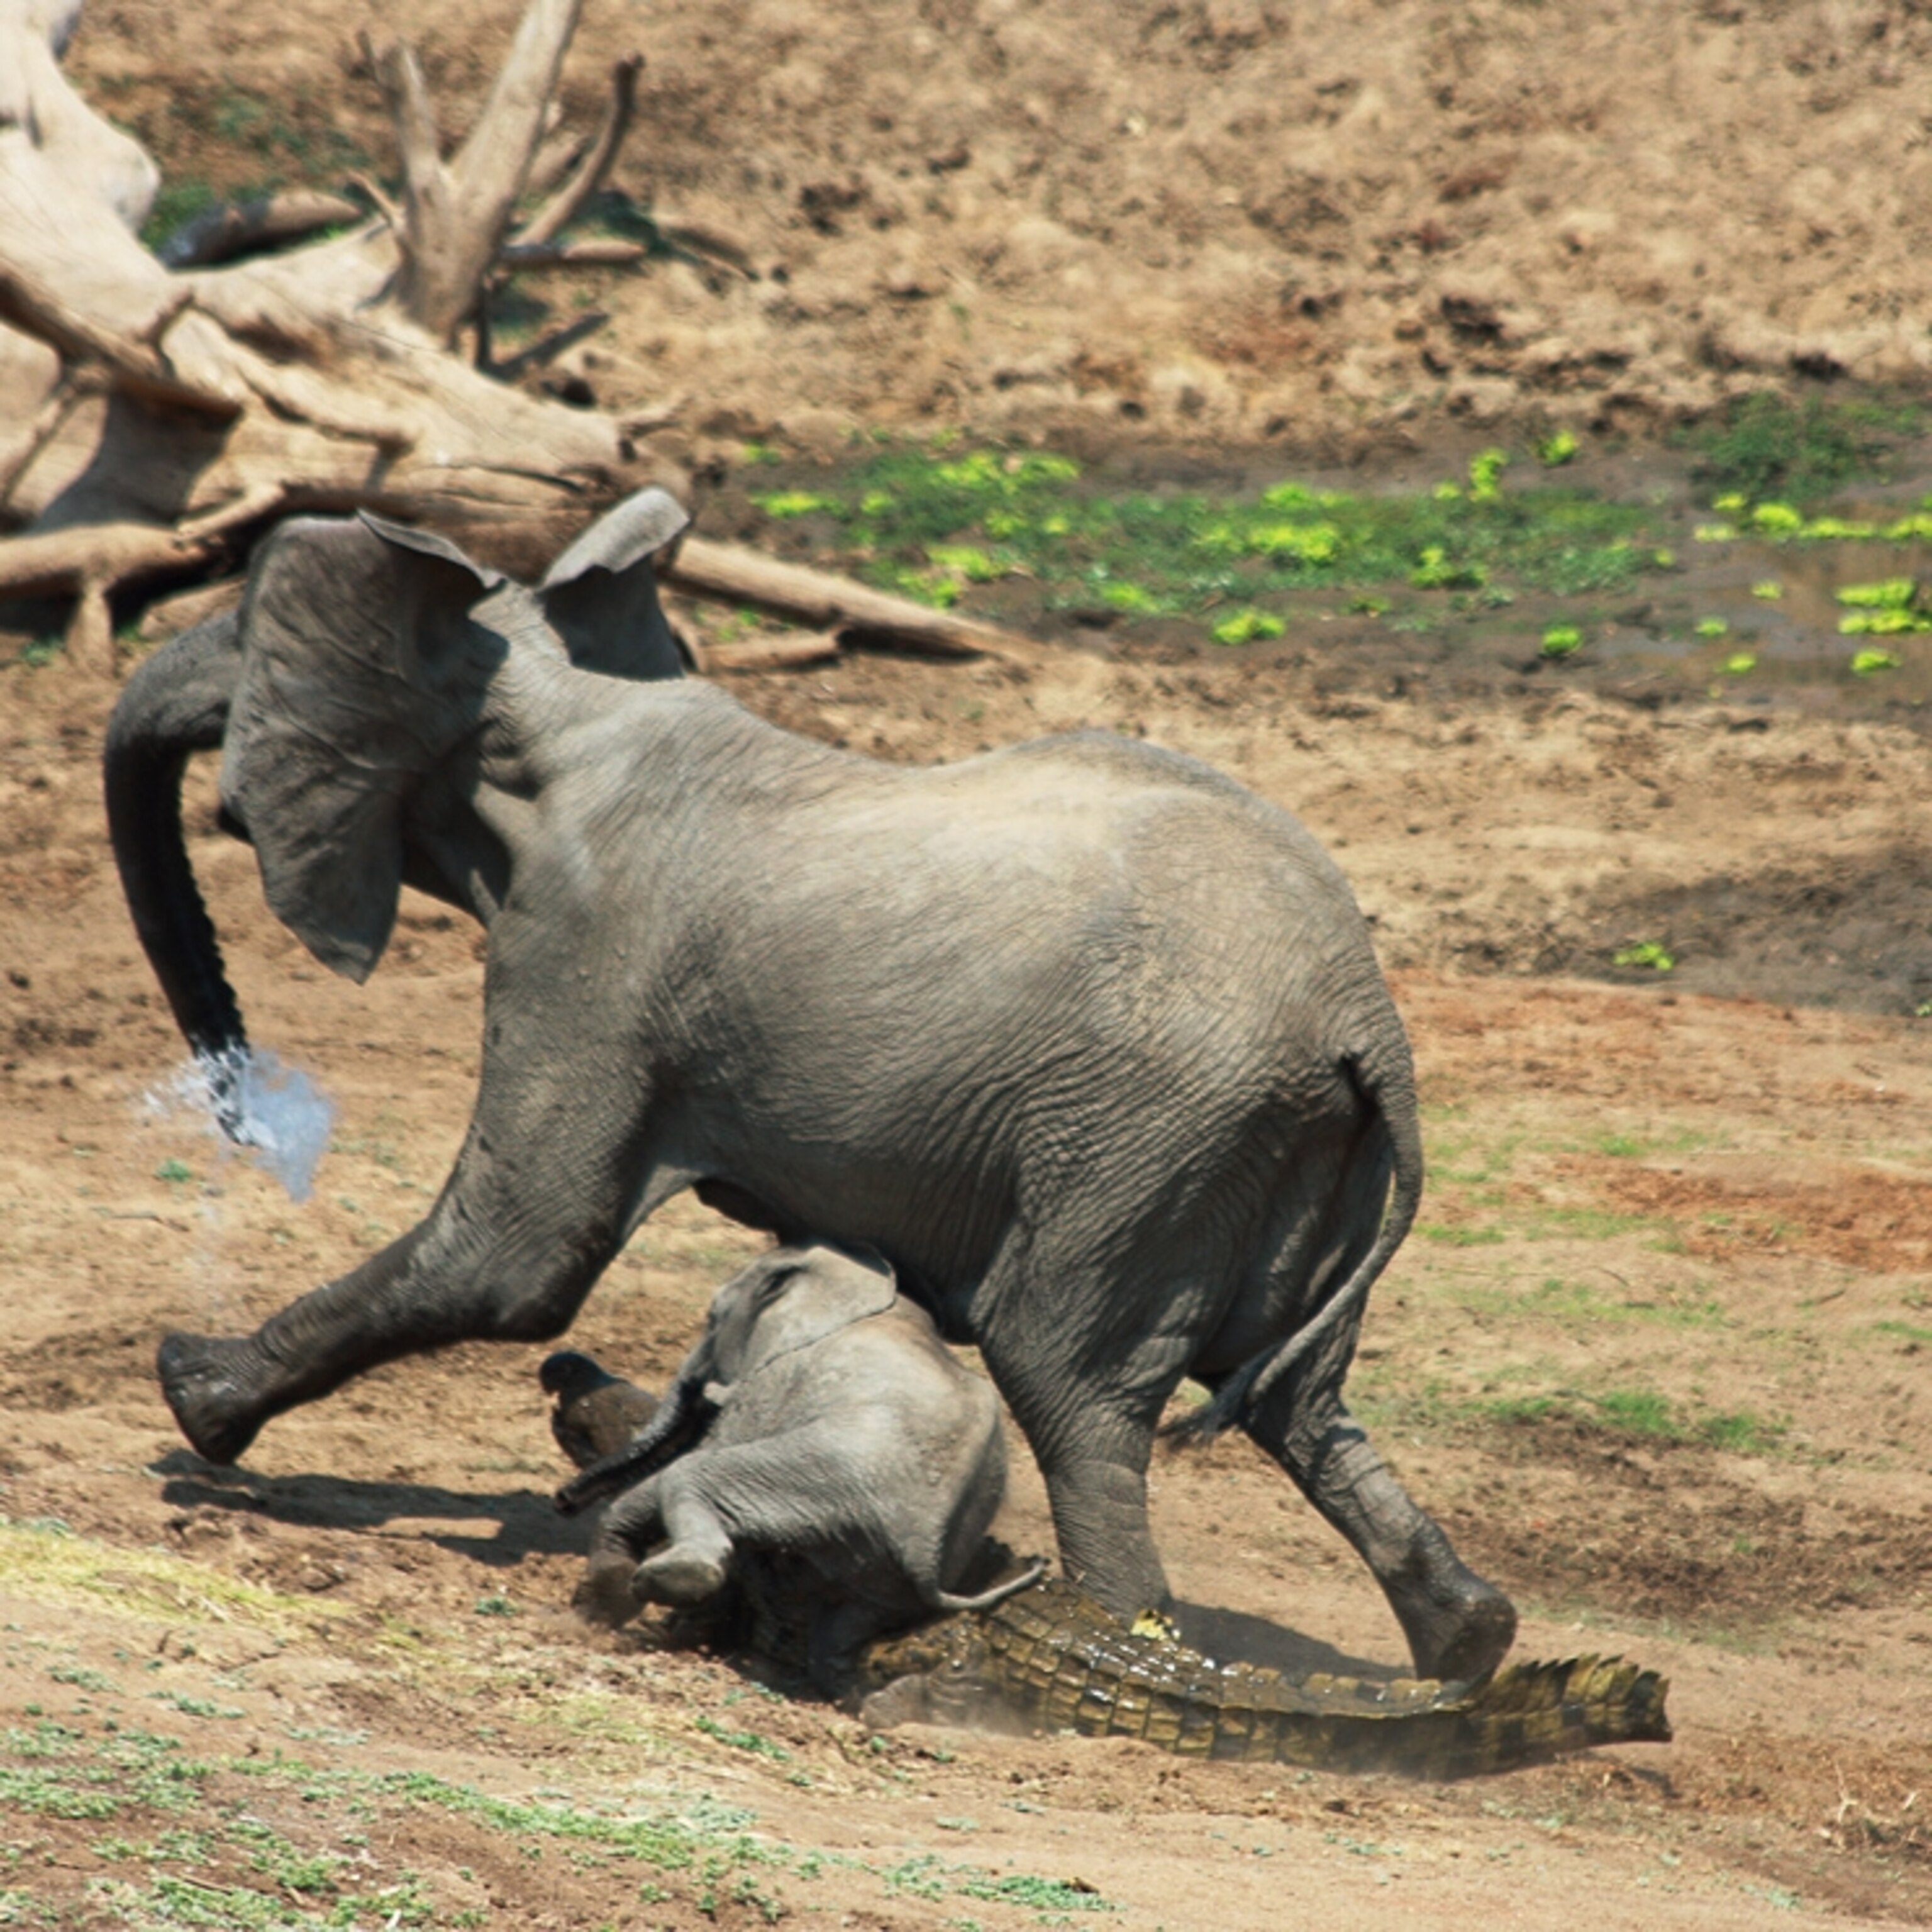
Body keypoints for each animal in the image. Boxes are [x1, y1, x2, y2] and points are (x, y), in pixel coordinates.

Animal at [550, 1242, 1043, 1685]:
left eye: (712, 1319)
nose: (563, 1501)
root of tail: (924, 1550)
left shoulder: (773, 1380)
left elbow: (697, 1456)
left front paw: (594, 1610)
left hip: (828, 1479)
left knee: (695, 1476)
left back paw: (666, 1582)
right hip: (888, 1573)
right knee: (844, 1632)